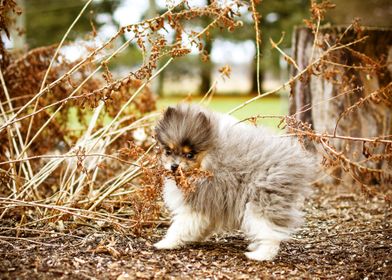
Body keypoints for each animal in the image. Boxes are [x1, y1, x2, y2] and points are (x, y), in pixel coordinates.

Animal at [153, 103, 316, 260]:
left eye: (190, 155)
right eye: (168, 151)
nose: (174, 166)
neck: (209, 160)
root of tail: (295, 163)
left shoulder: (198, 203)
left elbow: (179, 226)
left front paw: (165, 243)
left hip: (261, 201)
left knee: (270, 234)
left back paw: (260, 255)